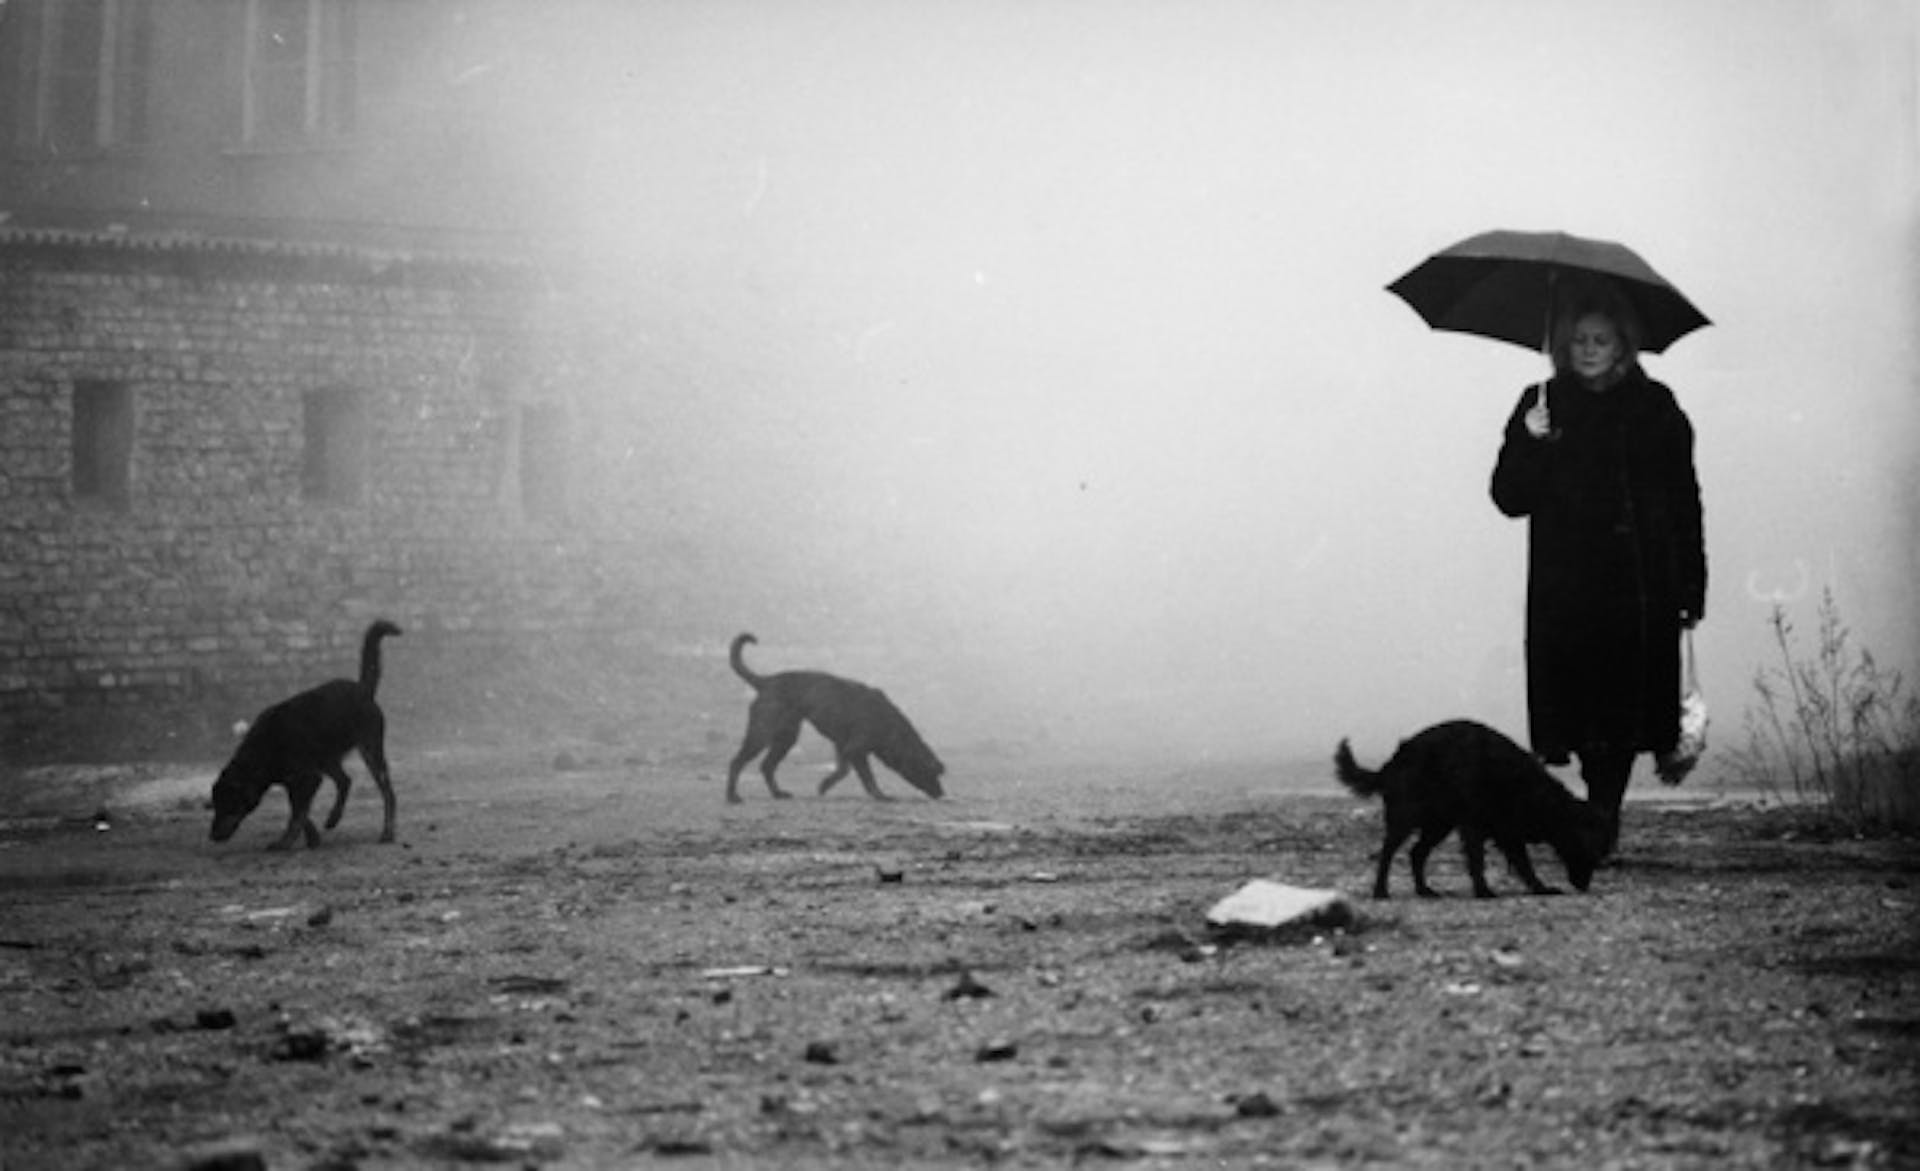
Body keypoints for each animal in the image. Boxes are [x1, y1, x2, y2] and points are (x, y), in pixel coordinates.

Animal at [209, 620, 402, 850]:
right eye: (215, 806)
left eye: (227, 805)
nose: (211, 836)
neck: (264, 749)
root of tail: (364, 688)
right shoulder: (296, 781)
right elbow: (301, 812)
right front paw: (312, 839)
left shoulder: (308, 778)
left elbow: (297, 814)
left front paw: (285, 842)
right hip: (326, 758)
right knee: (345, 781)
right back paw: (333, 818)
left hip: (370, 752)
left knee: (388, 794)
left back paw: (387, 833)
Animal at [725, 632, 945, 804]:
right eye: (932, 772)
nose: (942, 793)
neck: (889, 724)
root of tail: (765, 681)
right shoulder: (856, 750)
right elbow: (865, 777)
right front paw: (879, 796)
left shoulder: (843, 747)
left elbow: (844, 770)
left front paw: (826, 785)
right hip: (761, 735)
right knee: (736, 762)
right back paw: (732, 797)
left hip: (786, 738)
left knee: (767, 766)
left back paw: (778, 794)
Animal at [1333, 719, 1607, 899]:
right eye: (1587, 851)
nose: (1584, 886)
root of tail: (1390, 764)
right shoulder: (1475, 827)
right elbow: (1478, 860)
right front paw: (1483, 890)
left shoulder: (1508, 832)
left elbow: (1524, 864)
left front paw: (1539, 887)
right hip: (1406, 818)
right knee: (1387, 852)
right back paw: (1380, 890)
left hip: (1439, 824)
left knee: (1416, 853)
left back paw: (1424, 890)